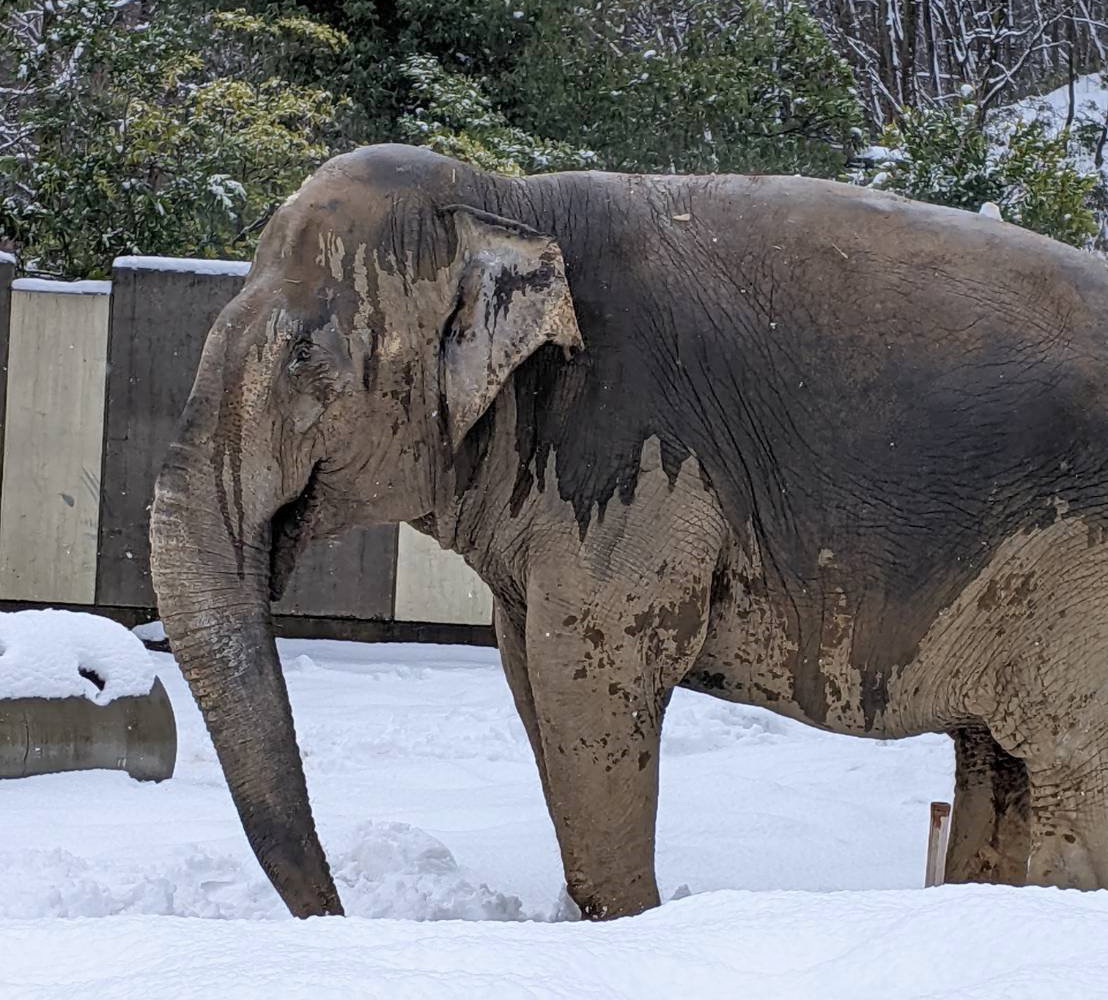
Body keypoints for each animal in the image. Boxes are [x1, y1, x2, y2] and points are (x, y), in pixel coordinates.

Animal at [149, 142, 1108, 921]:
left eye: (304, 356)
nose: (341, 914)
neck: (506, 197)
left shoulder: (632, 446)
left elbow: (592, 673)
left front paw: (629, 927)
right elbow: (529, 677)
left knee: (1069, 772)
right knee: (998, 762)